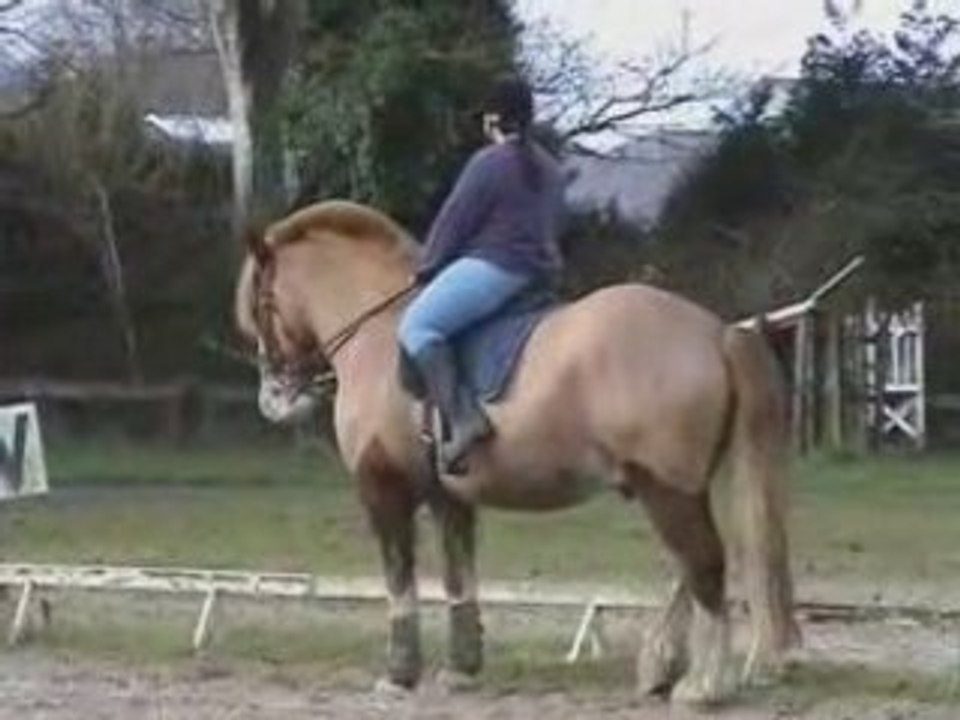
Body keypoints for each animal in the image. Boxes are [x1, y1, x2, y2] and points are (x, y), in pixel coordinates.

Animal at [234, 200, 800, 705]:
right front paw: (462, 670)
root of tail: (716, 331)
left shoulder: (383, 488)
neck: (376, 332)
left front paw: (399, 676)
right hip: (677, 486)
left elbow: (400, 583)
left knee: (704, 565)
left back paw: (702, 686)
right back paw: (662, 667)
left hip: (666, 487)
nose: (273, 398)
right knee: (692, 568)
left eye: (262, 306)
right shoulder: (449, 497)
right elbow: (459, 579)